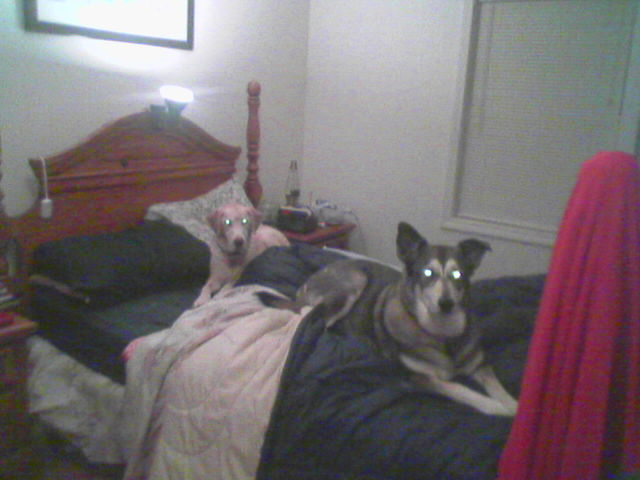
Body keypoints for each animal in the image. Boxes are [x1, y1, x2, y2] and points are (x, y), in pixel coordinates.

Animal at [296, 222, 518, 416]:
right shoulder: (420, 377)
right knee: (313, 320)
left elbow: (498, 386)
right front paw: (496, 407)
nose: (446, 303)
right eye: (427, 273)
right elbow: (459, 389)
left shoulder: (479, 364)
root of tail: (310, 279)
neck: (442, 332)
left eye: (457, 274)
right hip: (353, 282)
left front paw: (513, 406)